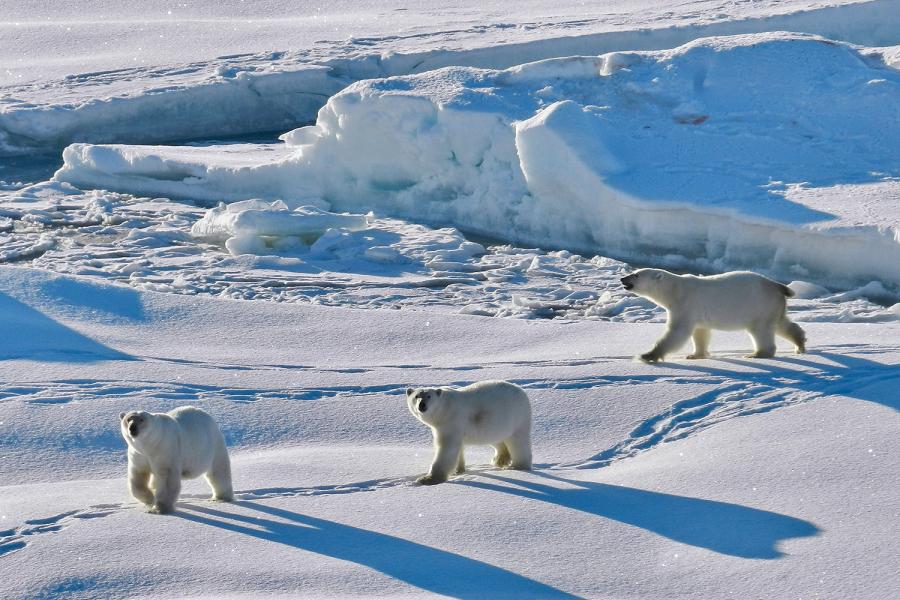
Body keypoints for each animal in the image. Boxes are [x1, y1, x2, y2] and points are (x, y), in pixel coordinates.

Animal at [620, 268, 806, 362]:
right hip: (773, 307)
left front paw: (647, 356)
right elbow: (700, 332)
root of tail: (777, 285)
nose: (622, 279)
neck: (674, 290)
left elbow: (677, 332)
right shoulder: (696, 312)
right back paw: (800, 344)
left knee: (761, 329)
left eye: (636, 274)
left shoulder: (685, 305)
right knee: (782, 324)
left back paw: (757, 353)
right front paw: (695, 355)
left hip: (759, 305)